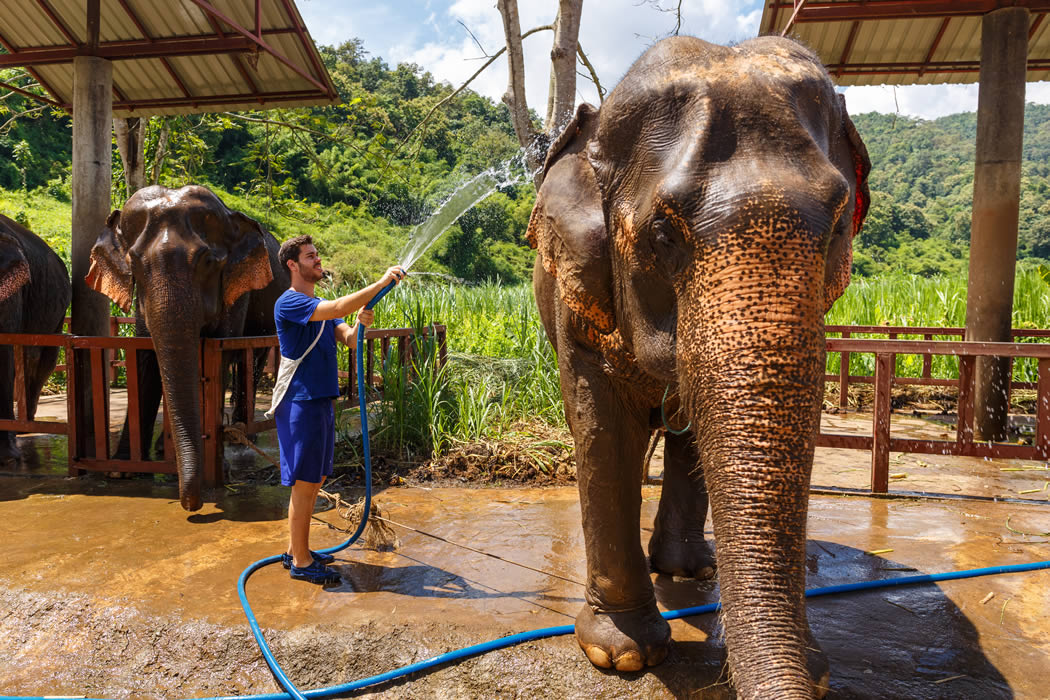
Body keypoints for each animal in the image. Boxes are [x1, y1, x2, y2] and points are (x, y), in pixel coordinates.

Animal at [86, 185, 289, 511]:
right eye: (134, 263)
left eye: (208, 262)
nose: (191, 505)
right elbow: (146, 359)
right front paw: (122, 470)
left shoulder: (234, 290)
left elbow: (218, 356)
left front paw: (220, 469)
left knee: (253, 359)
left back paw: (240, 436)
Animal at [527, 36, 870, 698]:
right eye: (663, 232)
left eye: (840, 223)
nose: (815, 677)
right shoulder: (577, 297)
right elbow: (602, 427)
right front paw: (623, 655)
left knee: (687, 434)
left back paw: (689, 569)